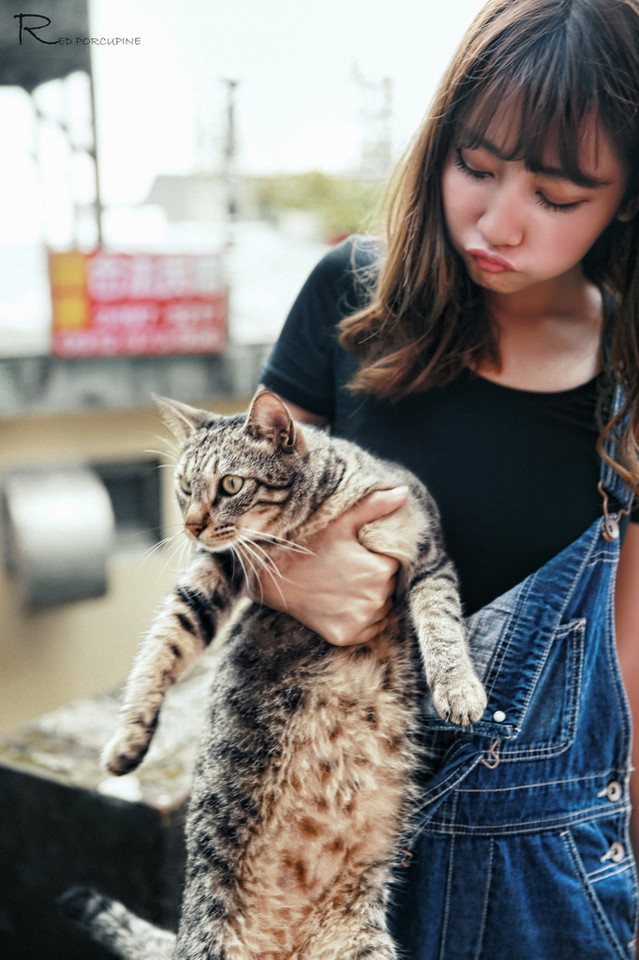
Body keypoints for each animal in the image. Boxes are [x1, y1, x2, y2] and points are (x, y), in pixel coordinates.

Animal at [63, 392, 484, 960]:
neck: (308, 528)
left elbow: (441, 623)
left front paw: (458, 689)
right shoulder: (216, 569)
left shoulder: (425, 552)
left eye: (231, 485)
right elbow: (163, 643)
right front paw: (128, 741)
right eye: (184, 486)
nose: (191, 525)